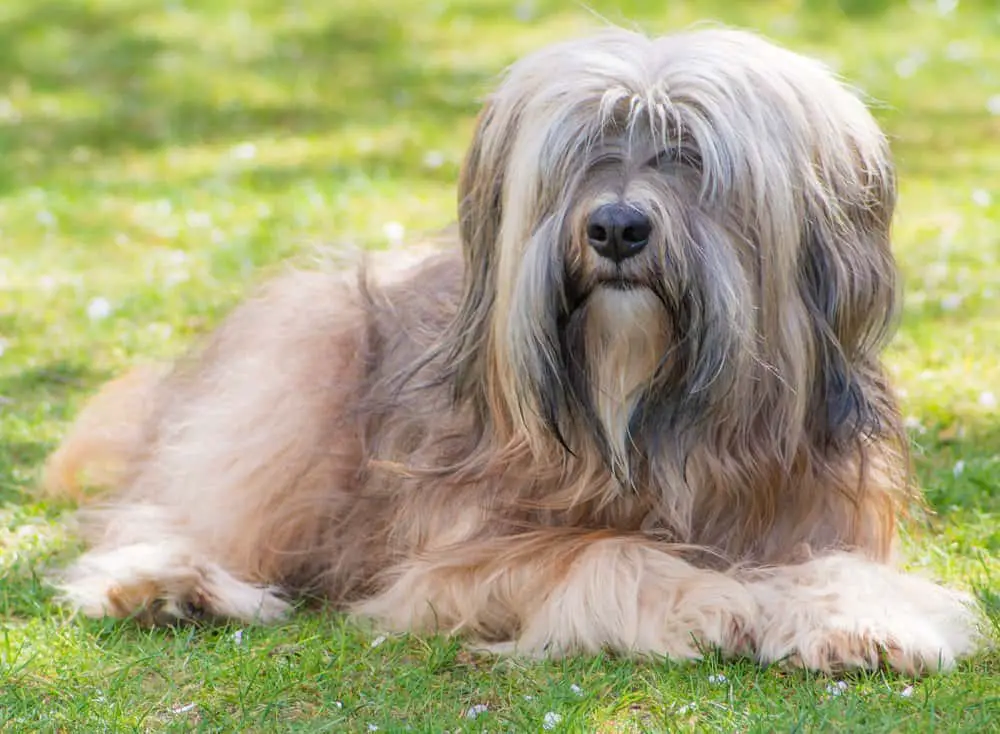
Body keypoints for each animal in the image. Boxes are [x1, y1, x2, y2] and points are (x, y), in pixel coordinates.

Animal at [43, 28, 980, 676]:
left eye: (688, 154)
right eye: (581, 157)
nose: (615, 228)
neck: (648, 422)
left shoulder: (821, 502)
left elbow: (842, 568)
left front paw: (864, 619)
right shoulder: (454, 563)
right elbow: (593, 553)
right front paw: (709, 595)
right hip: (297, 367)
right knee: (186, 509)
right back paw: (170, 585)